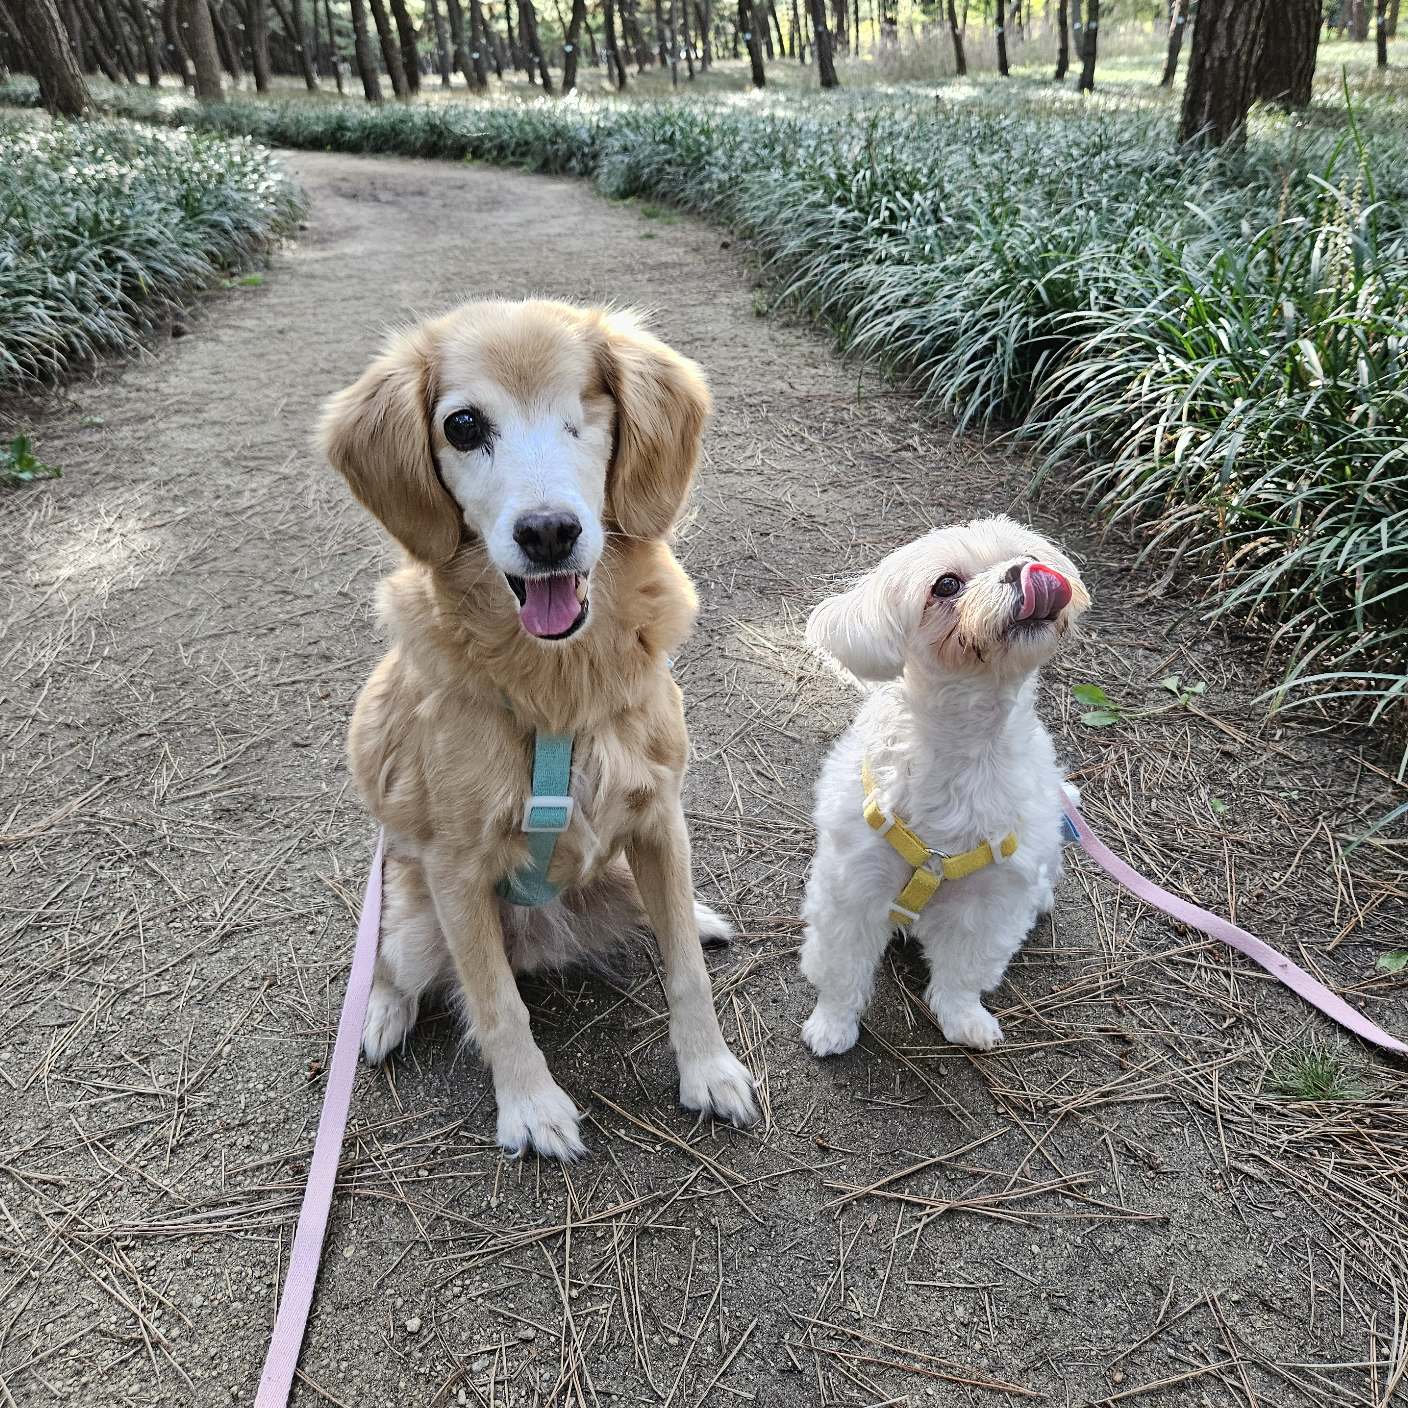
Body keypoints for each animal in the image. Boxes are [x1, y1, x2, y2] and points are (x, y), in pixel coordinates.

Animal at [320, 299, 756, 1159]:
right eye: (462, 426)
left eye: (588, 405)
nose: (548, 531)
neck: (558, 692)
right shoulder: (457, 872)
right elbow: (496, 1005)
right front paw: (530, 1106)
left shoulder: (659, 818)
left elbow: (684, 970)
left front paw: (709, 1069)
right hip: (413, 912)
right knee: (389, 962)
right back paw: (380, 1014)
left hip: (617, 868)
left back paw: (697, 916)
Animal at [798, 516, 1089, 1056]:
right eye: (947, 584)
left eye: (1027, 554)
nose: (1025, 570)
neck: (965, 750)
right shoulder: (852, 889)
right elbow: (841, 969)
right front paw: (832, 1024)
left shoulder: (988, 904)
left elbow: (964, 972)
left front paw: (964, 1019)